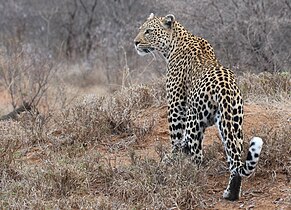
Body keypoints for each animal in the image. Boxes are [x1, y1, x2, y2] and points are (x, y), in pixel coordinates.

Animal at [135, 13, 264, 200]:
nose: (135, 42)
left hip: (194, 121)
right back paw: (231, 193)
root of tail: (225, 88)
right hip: (233, 123)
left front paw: (171, 161)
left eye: (149, 31)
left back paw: (186, 179)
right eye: (140, 30)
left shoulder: (175, 106)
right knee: (235, 158)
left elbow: (175, 140)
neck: (173, 45)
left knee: (197, 154)